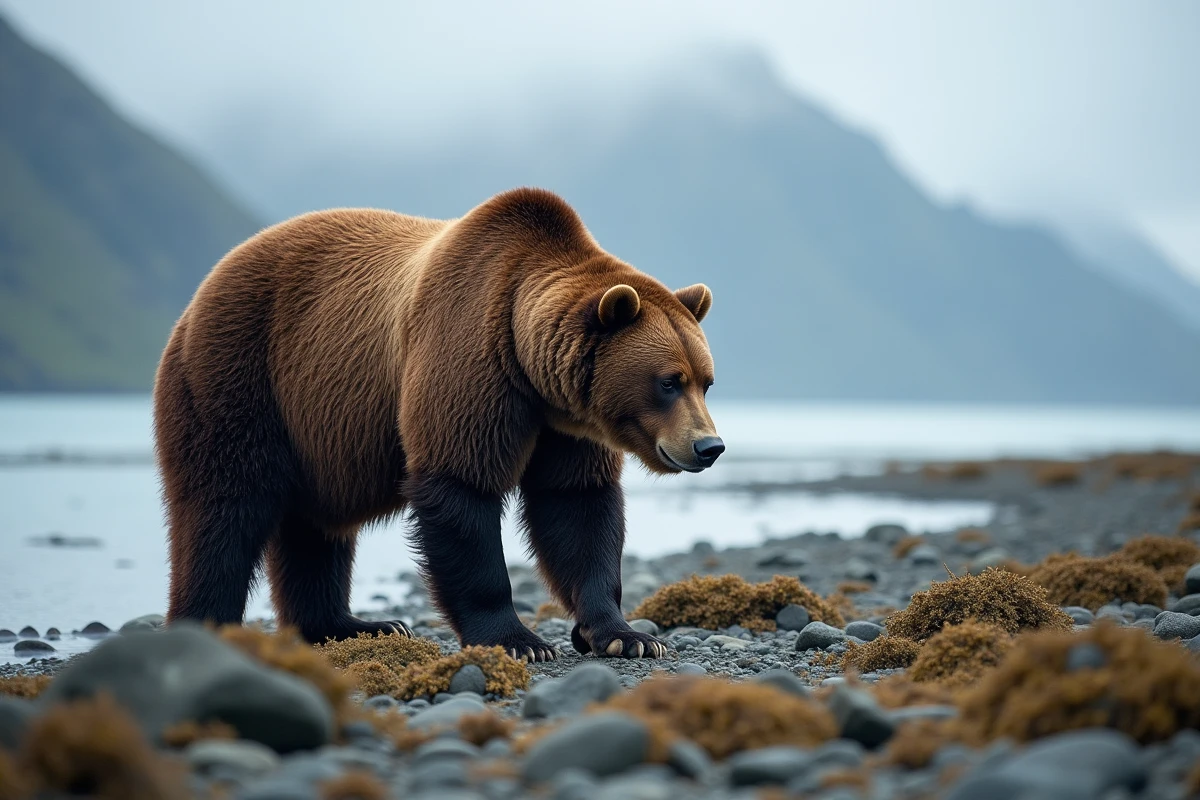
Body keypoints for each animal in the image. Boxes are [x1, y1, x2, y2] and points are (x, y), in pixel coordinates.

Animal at [155, 187, 723, 661]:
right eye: (668, 382)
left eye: (705, 380)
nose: (709, 445)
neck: (529, 368)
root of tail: (206, 285)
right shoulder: (467, 356)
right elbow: (461, 489)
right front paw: (518, 640)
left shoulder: (565, 428)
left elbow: (578, 506)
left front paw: (627, 636)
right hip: (237, 375)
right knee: (223, 507)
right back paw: (207, 623)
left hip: (313, 434)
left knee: (314, 530)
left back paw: (353, 625)